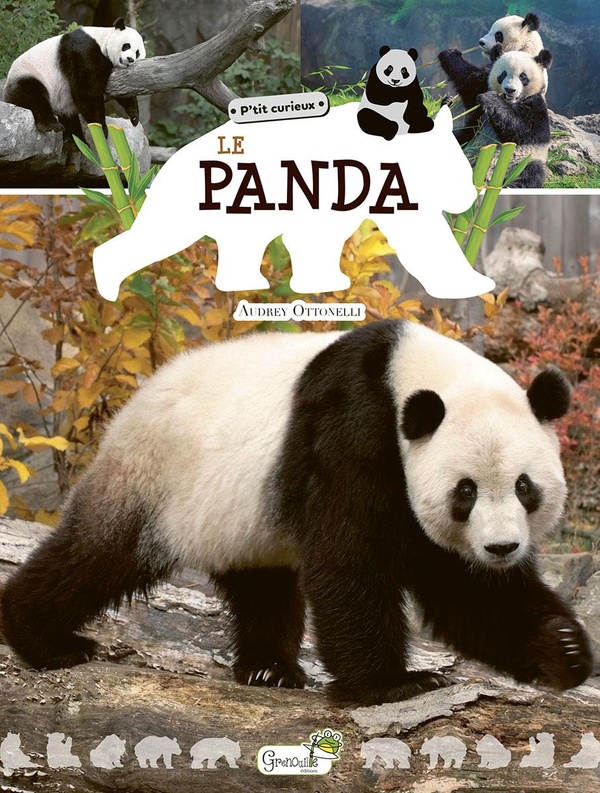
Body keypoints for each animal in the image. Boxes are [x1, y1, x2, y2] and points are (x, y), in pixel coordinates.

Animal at [0, 321, 592, 707]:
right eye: (464, 491)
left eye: (523, 486)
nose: (501, 548)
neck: (409, 373)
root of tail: (134, 401)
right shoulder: (351, 426)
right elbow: (350, 559)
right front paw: (393, 685)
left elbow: (466, 590)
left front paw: (562, 648)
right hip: (156, 475)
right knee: (97, 554)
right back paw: (44, 639)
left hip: (240, 516)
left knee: (262, 586)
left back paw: (269, 670)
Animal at [3, 17, 145, 139]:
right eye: (126, 46)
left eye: (138, 53)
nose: (130, 59)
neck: (103, 39)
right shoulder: (83, 50)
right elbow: (87, 91)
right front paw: (101, 129)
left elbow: (123, 89)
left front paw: (134, 117)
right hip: (28, 75)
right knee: (33, 96)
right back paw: (50, 126)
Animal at [439, 11, 546, 144]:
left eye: (498, 35)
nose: (481, 42)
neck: (524, 48)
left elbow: (473, 84)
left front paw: (449, 54)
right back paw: (447, 101)